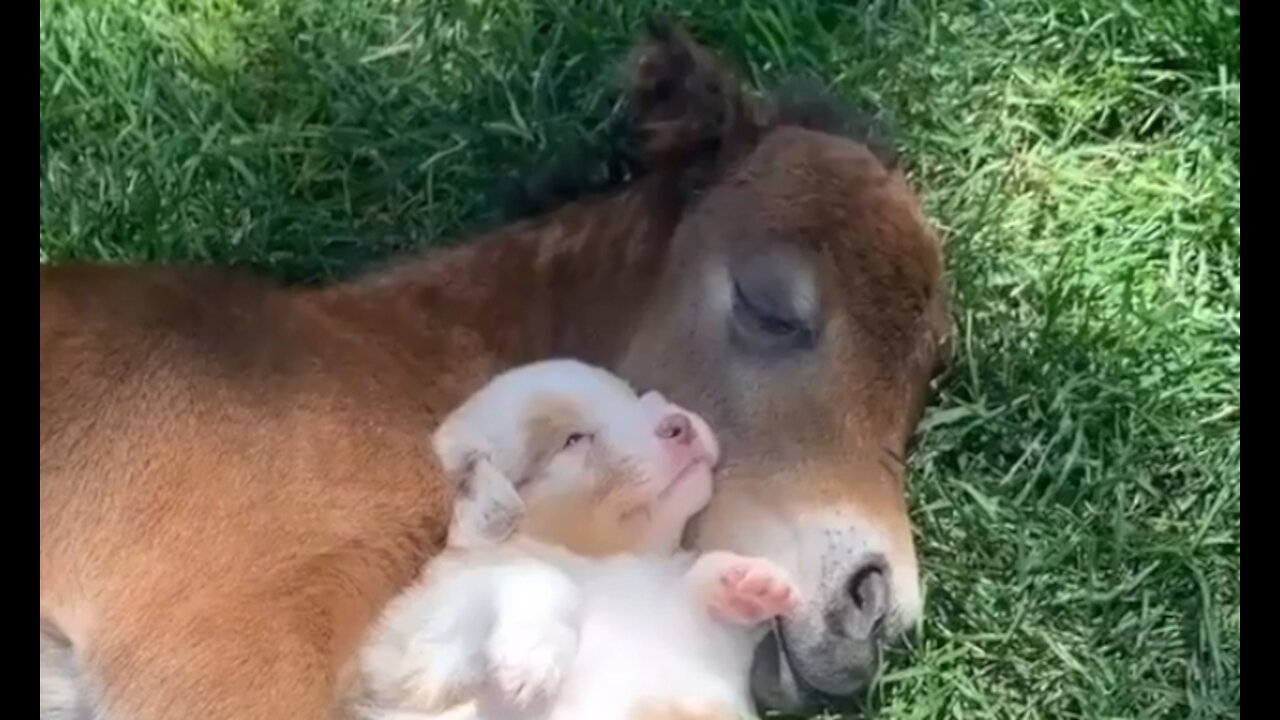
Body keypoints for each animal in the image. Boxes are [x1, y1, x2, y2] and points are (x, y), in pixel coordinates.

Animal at [355, 361, 793, 717]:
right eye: (574, 440)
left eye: (633, 397)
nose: (679, 424)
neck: (610, 564)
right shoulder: (417, 648)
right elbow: (535, 575)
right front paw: (532, 657)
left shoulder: (711, 646)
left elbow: (698, 586)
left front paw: (748, 581)